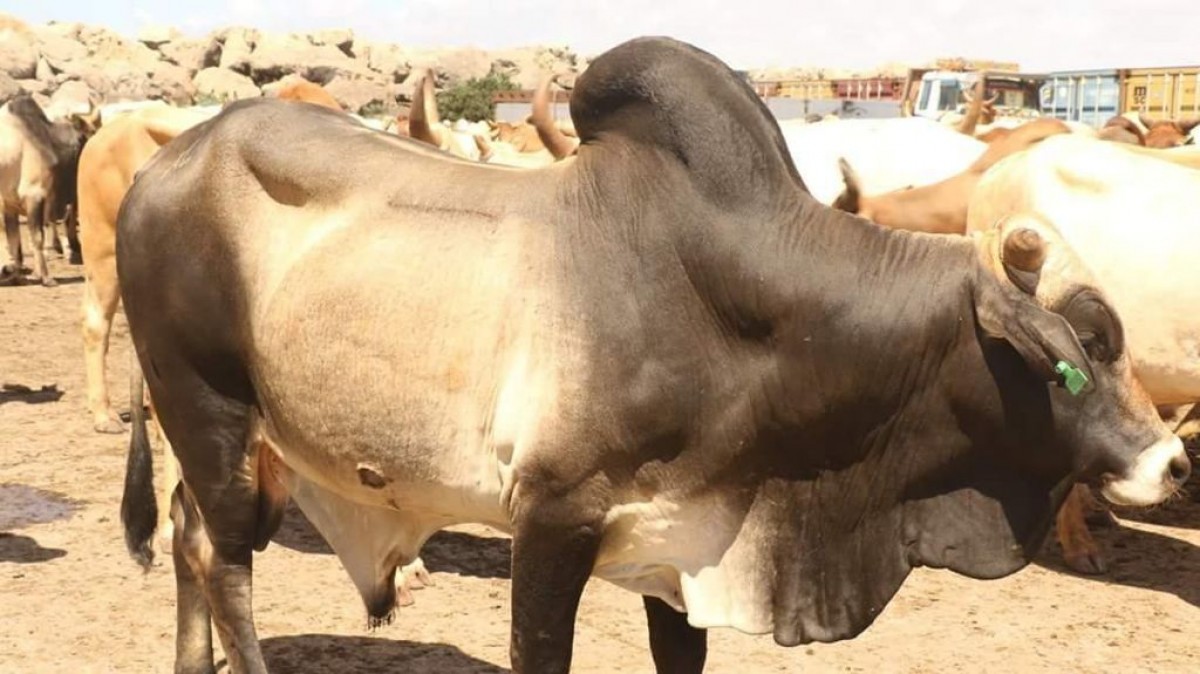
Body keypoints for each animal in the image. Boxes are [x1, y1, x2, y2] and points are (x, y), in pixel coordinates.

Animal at [0, 94, 96, 286]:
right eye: (92, 133)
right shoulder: (34, 195)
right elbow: (37, 237)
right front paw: (46, 277)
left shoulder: (10, 204)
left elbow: (15, 244)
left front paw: (17, 275)